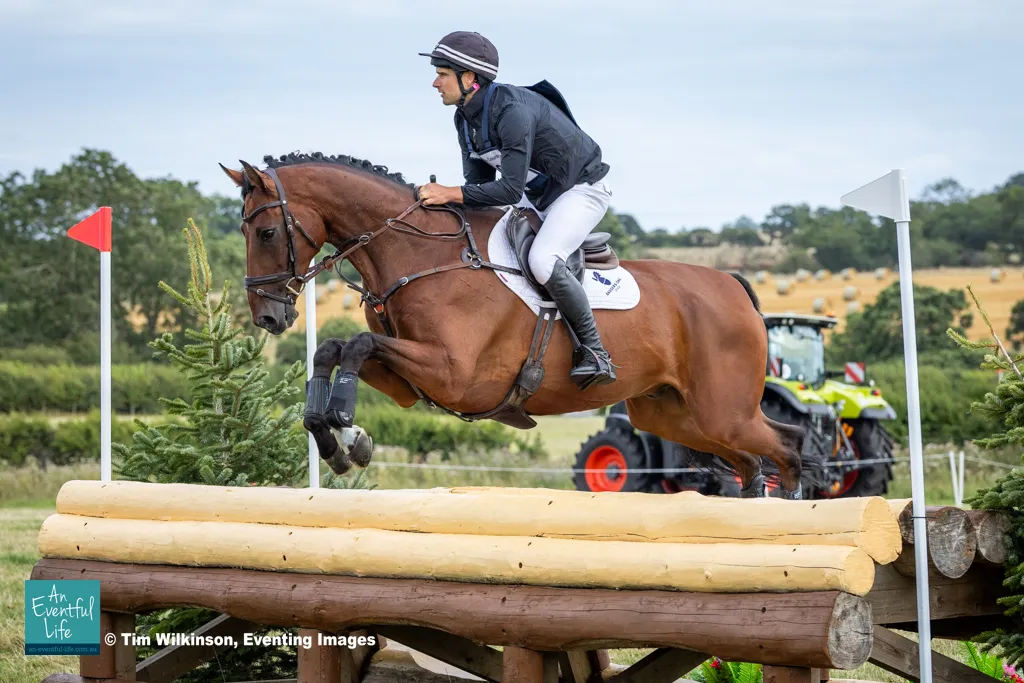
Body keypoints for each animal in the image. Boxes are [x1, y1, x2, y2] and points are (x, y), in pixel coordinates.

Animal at [220, 152, 807, 499]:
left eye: (266, 232)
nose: (269, 316)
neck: (420, 254)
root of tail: (735, 288)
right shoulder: (411, 382)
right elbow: (336, 349)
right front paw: (341, 439)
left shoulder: (454, 375)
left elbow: (359, 343)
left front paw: (344, 423)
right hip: (674, 415)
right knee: (751, 463)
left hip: (722, 411)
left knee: (789, 446)